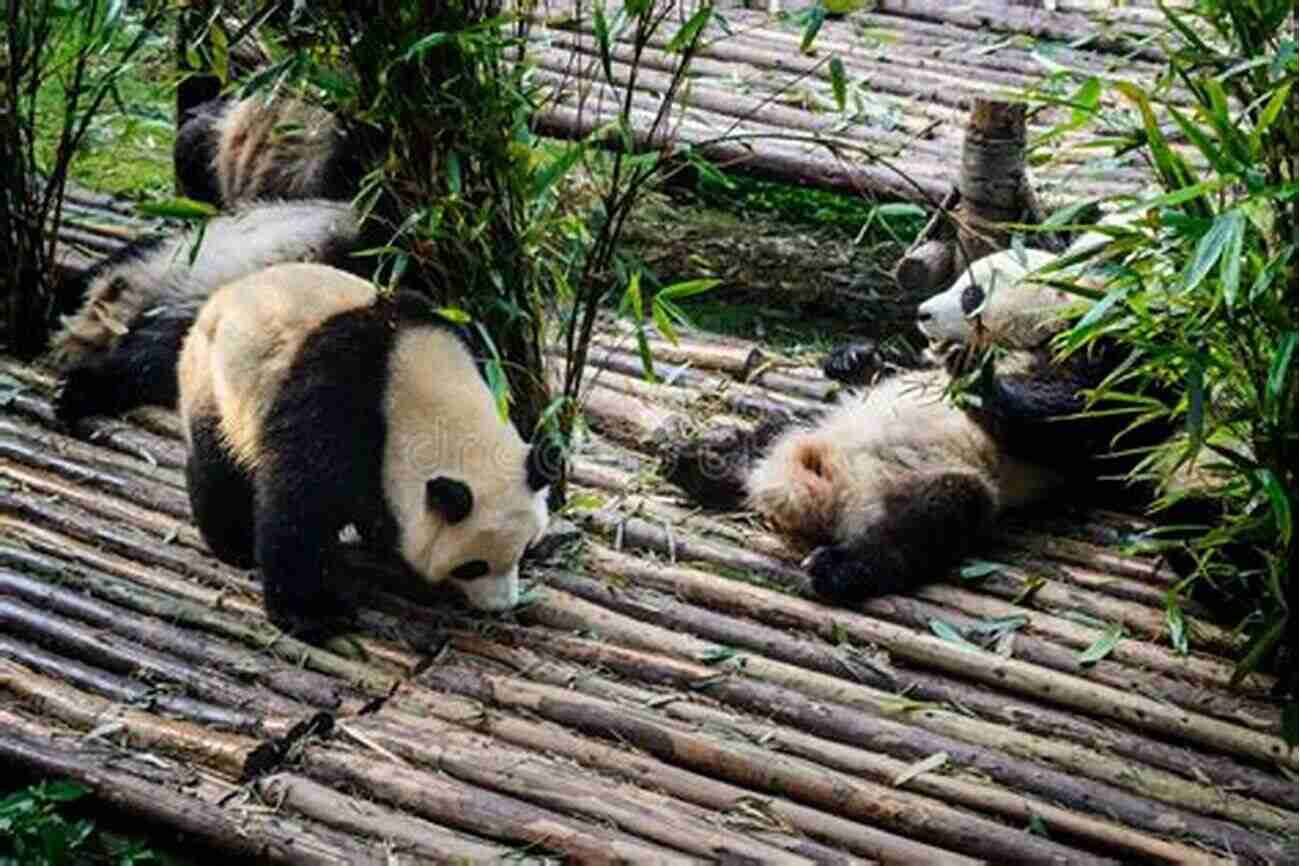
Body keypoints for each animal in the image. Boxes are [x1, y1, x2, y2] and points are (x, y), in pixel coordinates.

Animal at [176, 260, 553, 631]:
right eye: (473, 566)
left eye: (525, 550)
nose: (501, 606)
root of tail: (225, 293)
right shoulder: (339, 403)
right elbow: (299, 504)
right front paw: (315, 613)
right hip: (219, 381)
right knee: (219, 464)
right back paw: (233, 543)